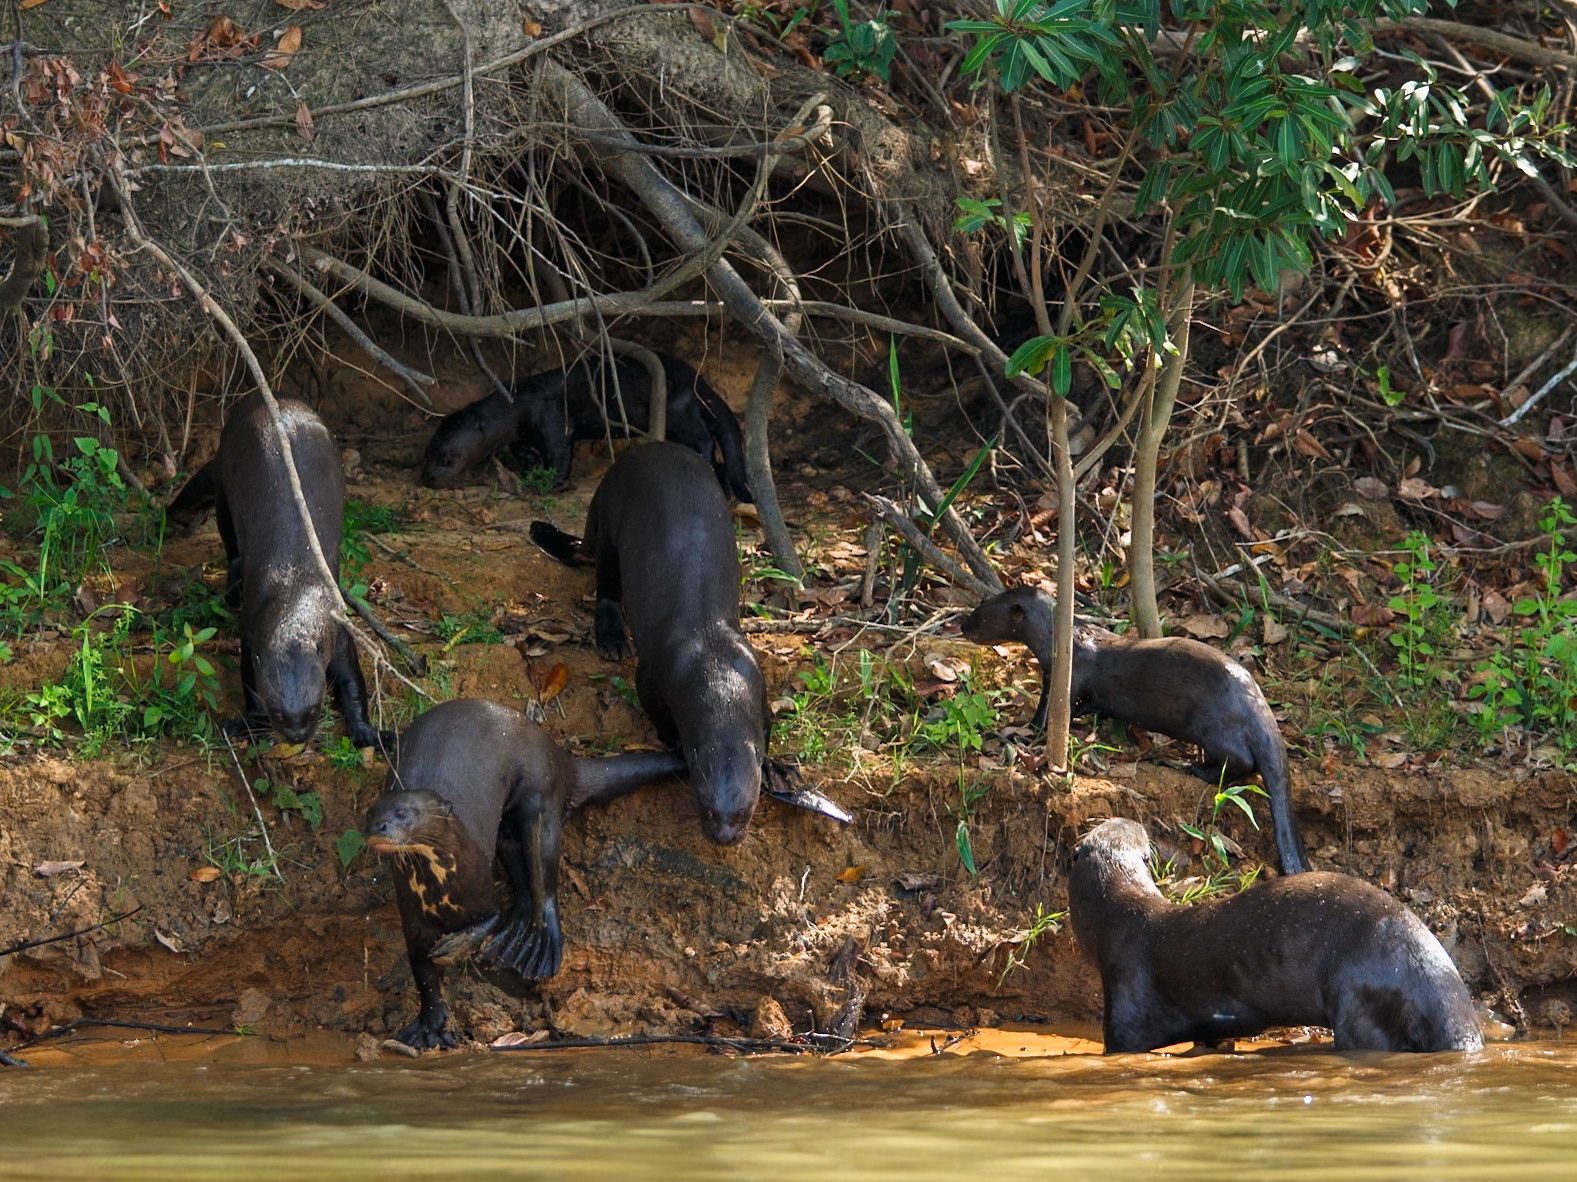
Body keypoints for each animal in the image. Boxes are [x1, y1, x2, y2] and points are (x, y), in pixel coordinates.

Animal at [165, 392, 391, 751]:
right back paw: (232, 591)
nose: (297, 735)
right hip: (225, 485)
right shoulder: (251, 630)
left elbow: (352, 681)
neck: (297, 586)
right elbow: (249, 679)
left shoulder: (338, 628)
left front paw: (367, 731)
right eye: (278, 712)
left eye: (314, 709)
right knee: (231, 544)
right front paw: (249, 721)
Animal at [365, 698, 686, 1049]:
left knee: (543, 872)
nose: (378, 826)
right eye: (370, 813)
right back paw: (515, 936)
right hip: (509, 825)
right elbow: (422, 972)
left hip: (541, 793)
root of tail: (557, 753)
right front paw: (431, 1024)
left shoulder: (480, 884)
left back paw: (540, 945)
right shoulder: (413, 918)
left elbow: (489, 916)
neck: (438, 890)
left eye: (401, 813)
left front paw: (454, 948)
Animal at [421, 351, 752, 500]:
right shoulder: (523, 429)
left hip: (676, 411)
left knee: (703, 440)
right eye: (427, 454)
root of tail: (700, 383)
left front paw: (548, 482)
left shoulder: (551, 418)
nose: (428, 478)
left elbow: (559, 452)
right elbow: (517, 446)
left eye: (446, 458)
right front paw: (529, 462)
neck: (519, 402)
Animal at [961, 587, 1308, 875]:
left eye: (981, 615)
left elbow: (1048, 713)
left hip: (1212, 723)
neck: (1065, 644)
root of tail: (1256, 700)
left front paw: (1019, 731)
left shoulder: (1066, 678)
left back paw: (1196, 768)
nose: (962, 626)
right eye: (978, 606)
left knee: (1241, 760)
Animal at [1069, 817, 1483, 1054]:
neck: (1118, 923)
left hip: (1359, 997)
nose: (1132, 817)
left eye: (1135, 833)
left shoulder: (1125, 1003)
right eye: (1113, 824)